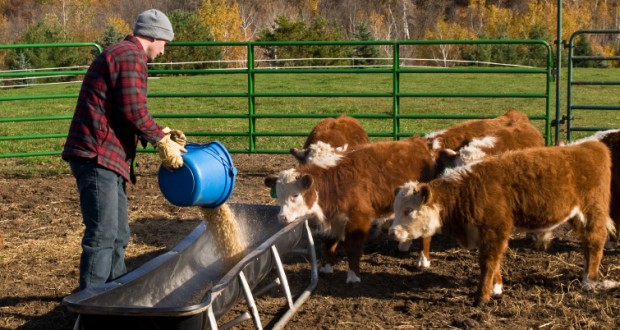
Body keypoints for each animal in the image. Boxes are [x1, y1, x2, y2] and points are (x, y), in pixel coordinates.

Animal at [264, 138, 434, 282]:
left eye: (295, 195)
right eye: (278, 195)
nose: (282, 217)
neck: (335, 181)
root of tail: (419, 142)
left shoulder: (358, 220)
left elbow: (353, 248)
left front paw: (353, 276)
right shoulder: (332, 219)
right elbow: (329, 242)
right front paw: (327, 267)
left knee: (425, 234)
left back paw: (423, 260)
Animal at [388, 141, 616, 306]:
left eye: (409, 210)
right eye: (396, 209)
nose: (392, 233)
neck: (468, 190)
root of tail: (589, 145)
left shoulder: (495, 229)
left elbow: (488, 262)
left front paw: (481, 297)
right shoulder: (486, 233)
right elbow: (495, 260)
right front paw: (497, 288)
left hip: (592, 211)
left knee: (595, 242)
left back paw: (589, 281)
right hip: (576, 217)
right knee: (587, 244)